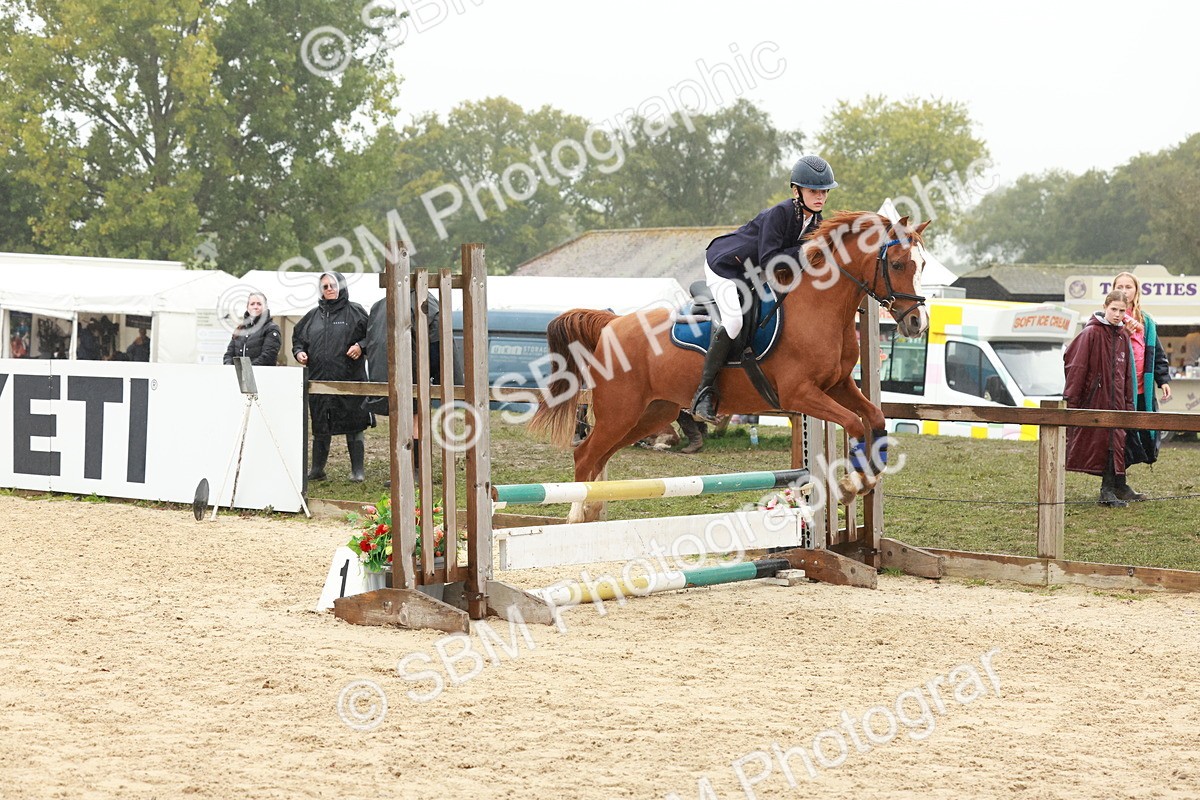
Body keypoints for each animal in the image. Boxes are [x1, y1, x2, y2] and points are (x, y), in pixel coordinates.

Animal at [529, 211, 931, 523]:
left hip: (651, 413)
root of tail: (612, 324)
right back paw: (577, 515)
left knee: (602, 454)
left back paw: (595, 510)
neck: (820, 306)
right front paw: (849, 486)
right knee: (586, 454)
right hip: (620, 411)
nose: (917, 323)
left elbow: (875, 418)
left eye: (923, 264)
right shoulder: (800, 394)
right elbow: (853, 424)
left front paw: (868, 478)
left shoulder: (838, 385)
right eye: (897, 264)